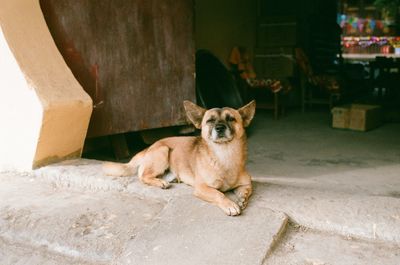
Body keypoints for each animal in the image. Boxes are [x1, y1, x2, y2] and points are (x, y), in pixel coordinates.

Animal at [103, 99, 256, 214]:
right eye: (210, 121)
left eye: (231, 119)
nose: (219, 128)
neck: (224, 154)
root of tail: (149, 147)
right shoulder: (202, 188)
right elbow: (219, 194)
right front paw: (229, 204)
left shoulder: (247, 183)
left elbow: (247, 190)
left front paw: (242, 198)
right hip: (163, 151)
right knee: (143, 176)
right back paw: (160, 183)